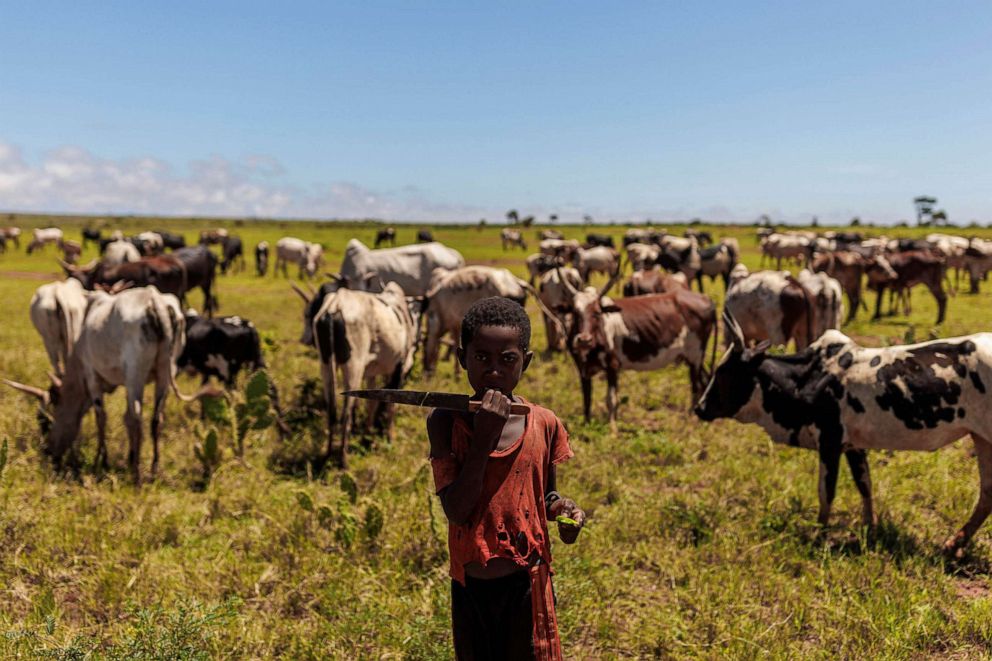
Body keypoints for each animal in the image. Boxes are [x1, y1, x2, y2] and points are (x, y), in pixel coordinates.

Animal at [692, 310, 992, 556]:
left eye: (724, 373)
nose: (700, 408)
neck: (808, 378)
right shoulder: (853, 446)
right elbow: (865, 486)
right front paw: (870, 530)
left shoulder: (830, 441)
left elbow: (826, 492)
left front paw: (818, 535)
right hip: (981, 438)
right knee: (986, 494)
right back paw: (953, 544)